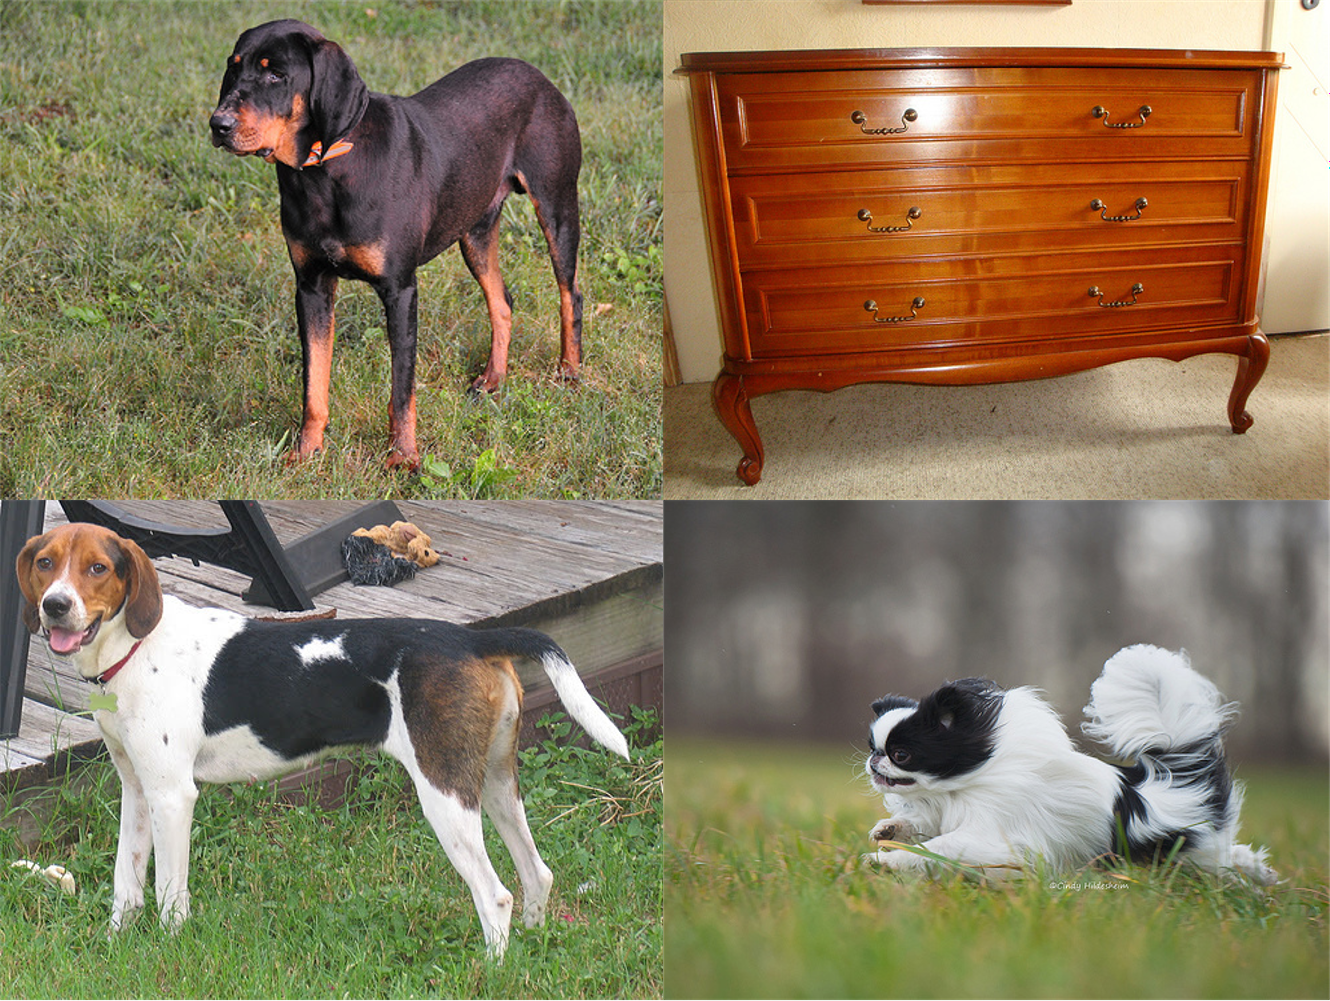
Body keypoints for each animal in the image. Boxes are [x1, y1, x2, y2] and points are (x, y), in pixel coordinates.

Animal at [15, 518, 627, 957]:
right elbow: (126, 882)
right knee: (537, 875)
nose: (55, 606)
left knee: (495, 896)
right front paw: (114, 946)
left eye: (97, 568)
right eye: (45, 564)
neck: (133, 648)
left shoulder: (172, 797)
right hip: (495, 783)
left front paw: (168, 953)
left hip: (444, 794)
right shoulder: (137, 792)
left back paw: (490, 970)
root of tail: (470, 640)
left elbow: (169, 896)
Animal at [208, 20, 582, 473]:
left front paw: (403, 457)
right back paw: (493, 379)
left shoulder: (400, 290)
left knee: (570, 293)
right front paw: (307, 452)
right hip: (474, 230)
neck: (325, 171)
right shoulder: (311, 287)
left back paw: (570, 373)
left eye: (276, 74)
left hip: (557, 204)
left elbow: (402, 390)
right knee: (501, 300)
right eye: (233, 67)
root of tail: (539, 75)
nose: (218, 123)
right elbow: (314, 383)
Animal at [861, 640, 1276, 882]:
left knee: (1222, 860)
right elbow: (921, 826)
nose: (873, 762)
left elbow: (937, 849)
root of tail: (1173, 775)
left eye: (901, 754)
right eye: (872, 747)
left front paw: (883, 861)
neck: (966, 783)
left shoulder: (990, 836)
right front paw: (889, 830)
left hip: (1194, 850)